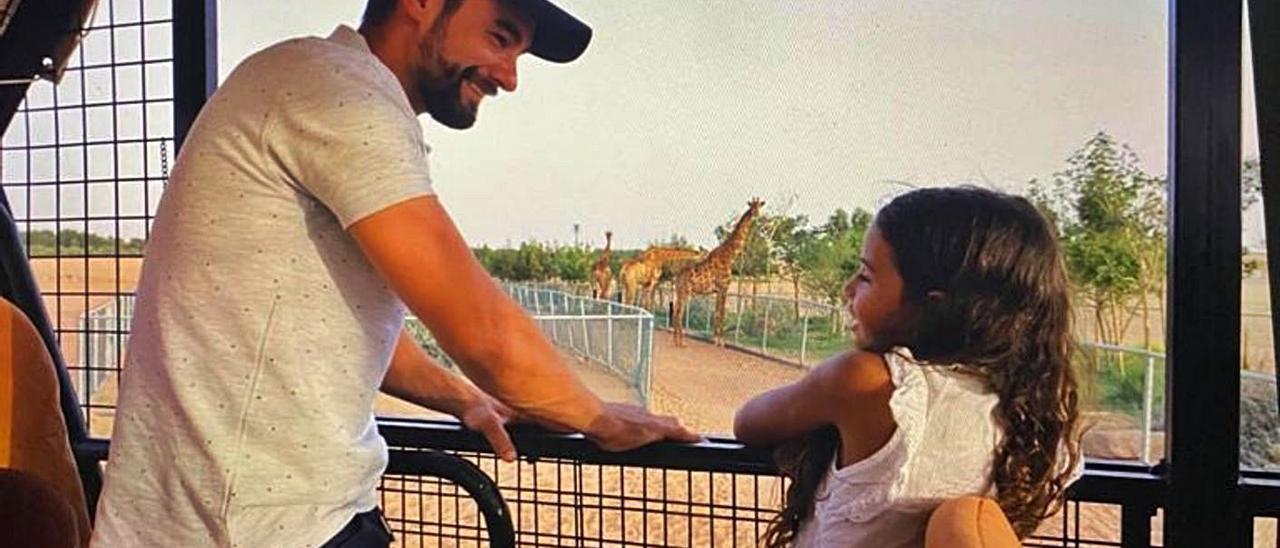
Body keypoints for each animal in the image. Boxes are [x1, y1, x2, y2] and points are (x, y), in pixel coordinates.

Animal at [675, 198, 762, 345]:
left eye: (759, 207)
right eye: (751, 208)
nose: (756, 215)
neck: (730, 256)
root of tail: (677, 278)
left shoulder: (717, 290)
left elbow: (716, 312)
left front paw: (715, 339)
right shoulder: (724, 287)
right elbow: (721, 313)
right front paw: (721, 341)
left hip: (680, 292)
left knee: (676, 311)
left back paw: (676, 341)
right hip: (685, 292)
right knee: (680, 312)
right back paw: (681, 342)